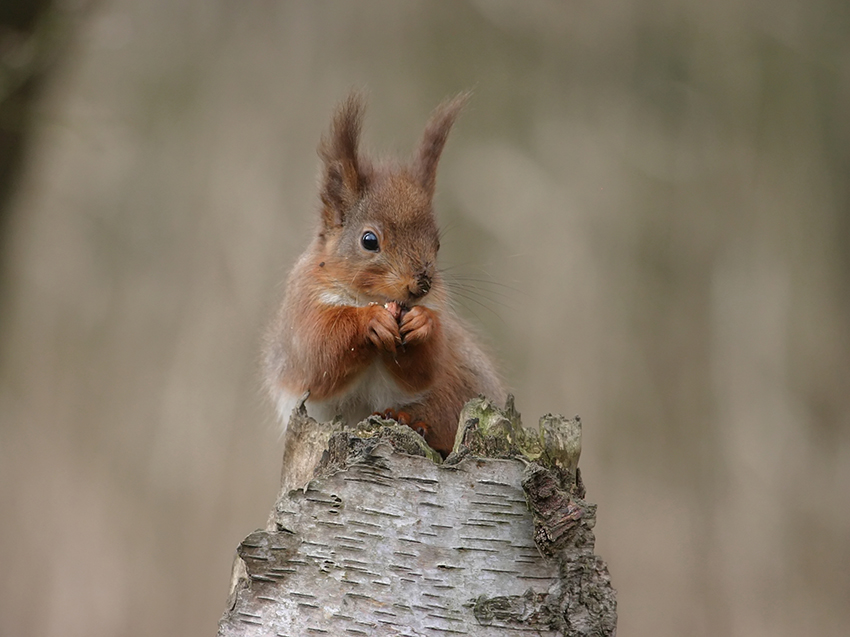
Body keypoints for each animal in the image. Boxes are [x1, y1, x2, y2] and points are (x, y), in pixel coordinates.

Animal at [264, 92, 504, 454]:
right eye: (369, 240)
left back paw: (411, 419)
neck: (370, 298)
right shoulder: (302, 315)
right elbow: (321, 358)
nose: (422, 284)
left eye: (437, 244)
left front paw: (423, 324)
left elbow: (424, 369)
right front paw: (370, 322)